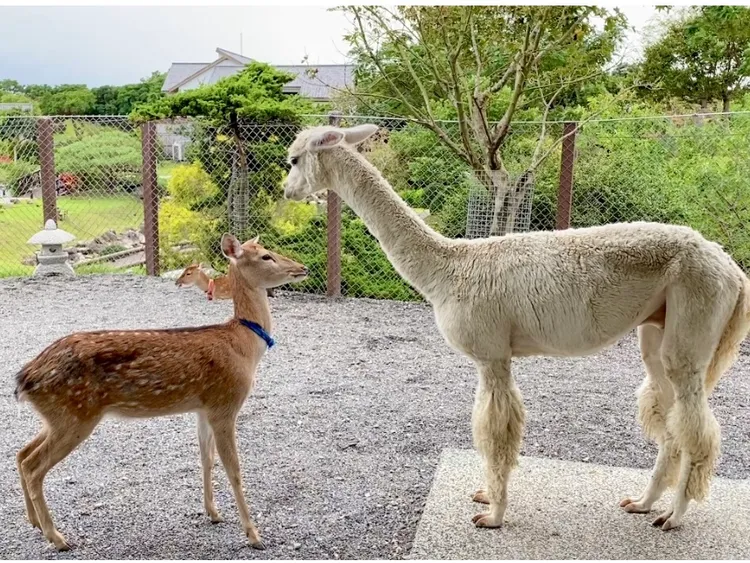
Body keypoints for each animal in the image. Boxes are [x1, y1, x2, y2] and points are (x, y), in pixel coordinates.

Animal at [14, 234, 308, 552]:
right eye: (266, 256)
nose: (302, 267)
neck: (245, 347)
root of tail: (24, 378)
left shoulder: (204, 407)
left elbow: (206, 459)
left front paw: (213, 513)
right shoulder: (226, 403)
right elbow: (234, 469)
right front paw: (253, 535)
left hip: (57, 416)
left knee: (22, 453)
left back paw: (34, 522)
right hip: (75, 415)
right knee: (33, 466)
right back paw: (57, 537)